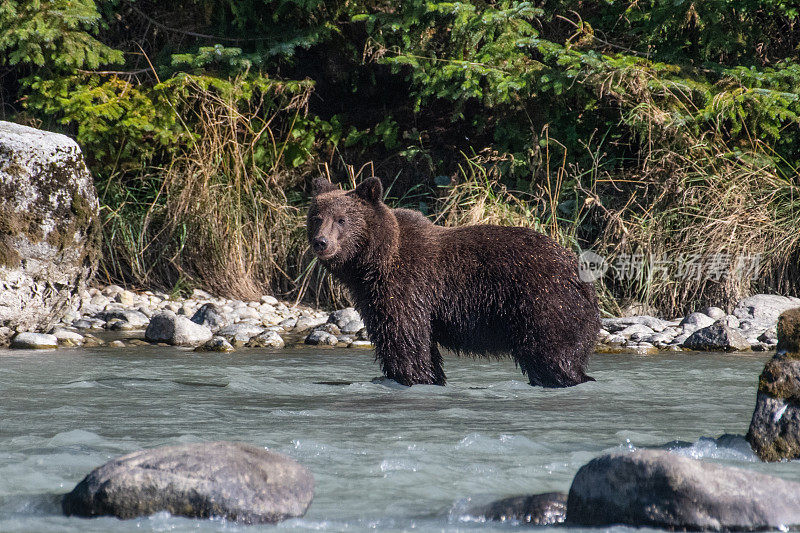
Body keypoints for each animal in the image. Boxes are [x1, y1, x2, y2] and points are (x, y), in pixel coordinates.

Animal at [306, 177, 600, 384]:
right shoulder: (373, 294)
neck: (372, 263)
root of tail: (578, 271)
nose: (321, 242)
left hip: (544, 303)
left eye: (342, 220)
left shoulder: (406, 286)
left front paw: (410, 376)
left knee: (553, 355)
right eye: (316, 217)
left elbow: (404, 339)